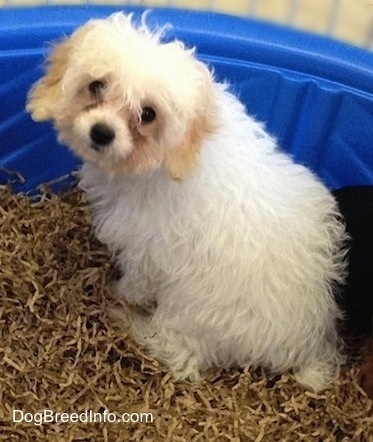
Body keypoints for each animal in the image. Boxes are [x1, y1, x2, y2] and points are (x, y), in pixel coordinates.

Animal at [27, 11, 348, 390]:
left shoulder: (148, 253)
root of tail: (308, 345)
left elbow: (135, 283)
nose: (101, 133)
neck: (164, 161)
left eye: (147, 114)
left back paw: (126, 319)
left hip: (191, 318)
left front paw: (119, 293)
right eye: (97, 86)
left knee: (178, 355)